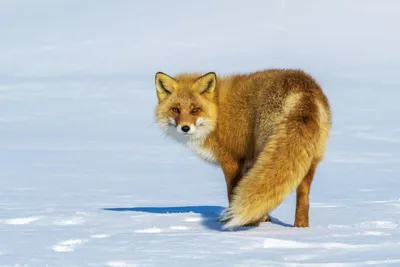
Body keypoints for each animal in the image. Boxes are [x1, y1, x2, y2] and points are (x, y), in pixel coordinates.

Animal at [153, 69, 332, 230]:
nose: (185, 128)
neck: (217, 113)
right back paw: (300, 229)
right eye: (175, 109)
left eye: (195, 110)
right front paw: (265, 219)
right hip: (308, 160)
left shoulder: (232, 160)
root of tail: (304, 90)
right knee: (303, 197)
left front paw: (232, 220)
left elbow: (233, 193)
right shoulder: (248, 163)